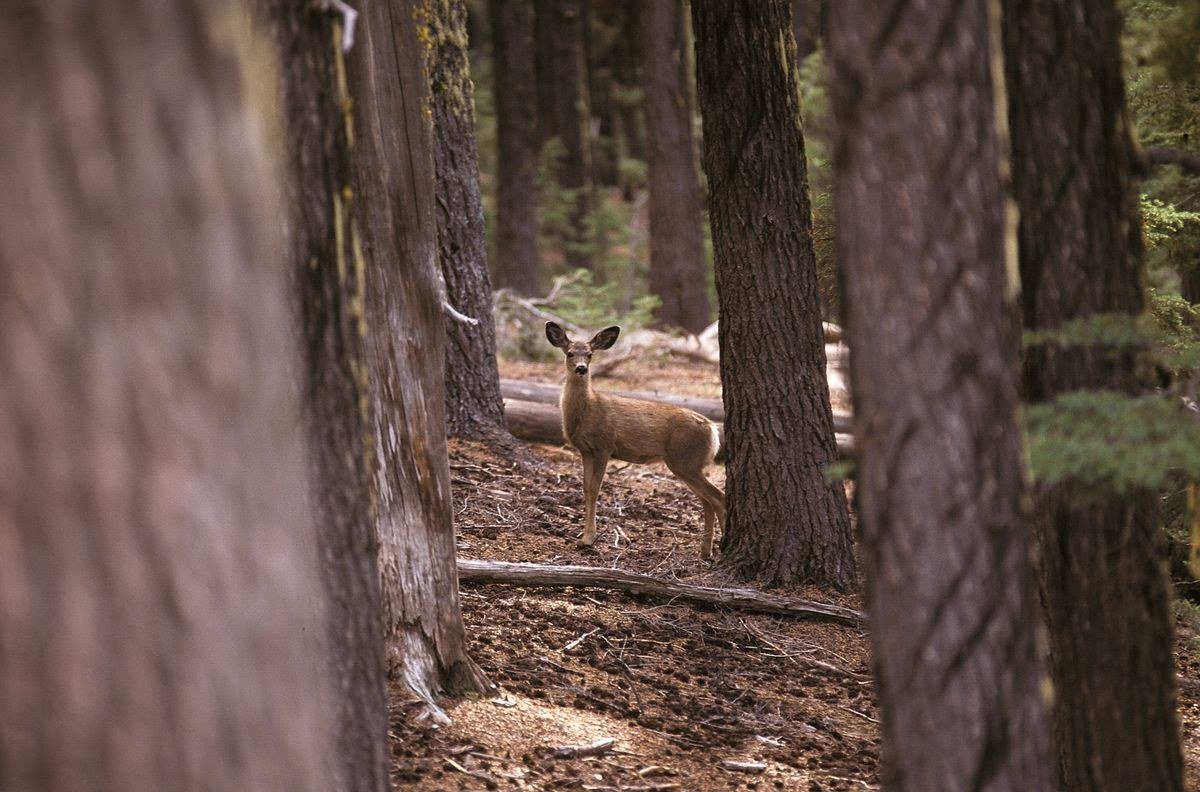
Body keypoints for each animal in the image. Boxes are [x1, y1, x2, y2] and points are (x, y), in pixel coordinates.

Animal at [545, 321, 726, 559]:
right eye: (570, 353)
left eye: (590, 354)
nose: (581, 368)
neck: (587, 410)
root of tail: (713, 430)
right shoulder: (585, 450)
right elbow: (585, 488)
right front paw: (584, 537)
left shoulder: (604, 445)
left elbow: (595, 488)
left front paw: (588, 539)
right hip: (687, 464)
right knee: (708, 501)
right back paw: (705, 551)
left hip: (685, 460)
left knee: (718, 497)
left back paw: (720, 547)